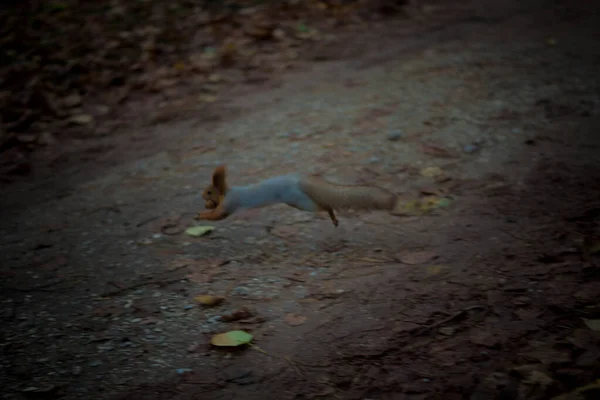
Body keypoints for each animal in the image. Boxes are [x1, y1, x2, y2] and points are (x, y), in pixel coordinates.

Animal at [197, 165, 400, 227]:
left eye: (209, 191)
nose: (201, 196)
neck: (226, 192)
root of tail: (300, 180)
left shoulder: (229, 204)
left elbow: (218, 216)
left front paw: (201, 215)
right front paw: (205, 209)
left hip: (301, 202)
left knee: (324, 205)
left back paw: (333, 216)